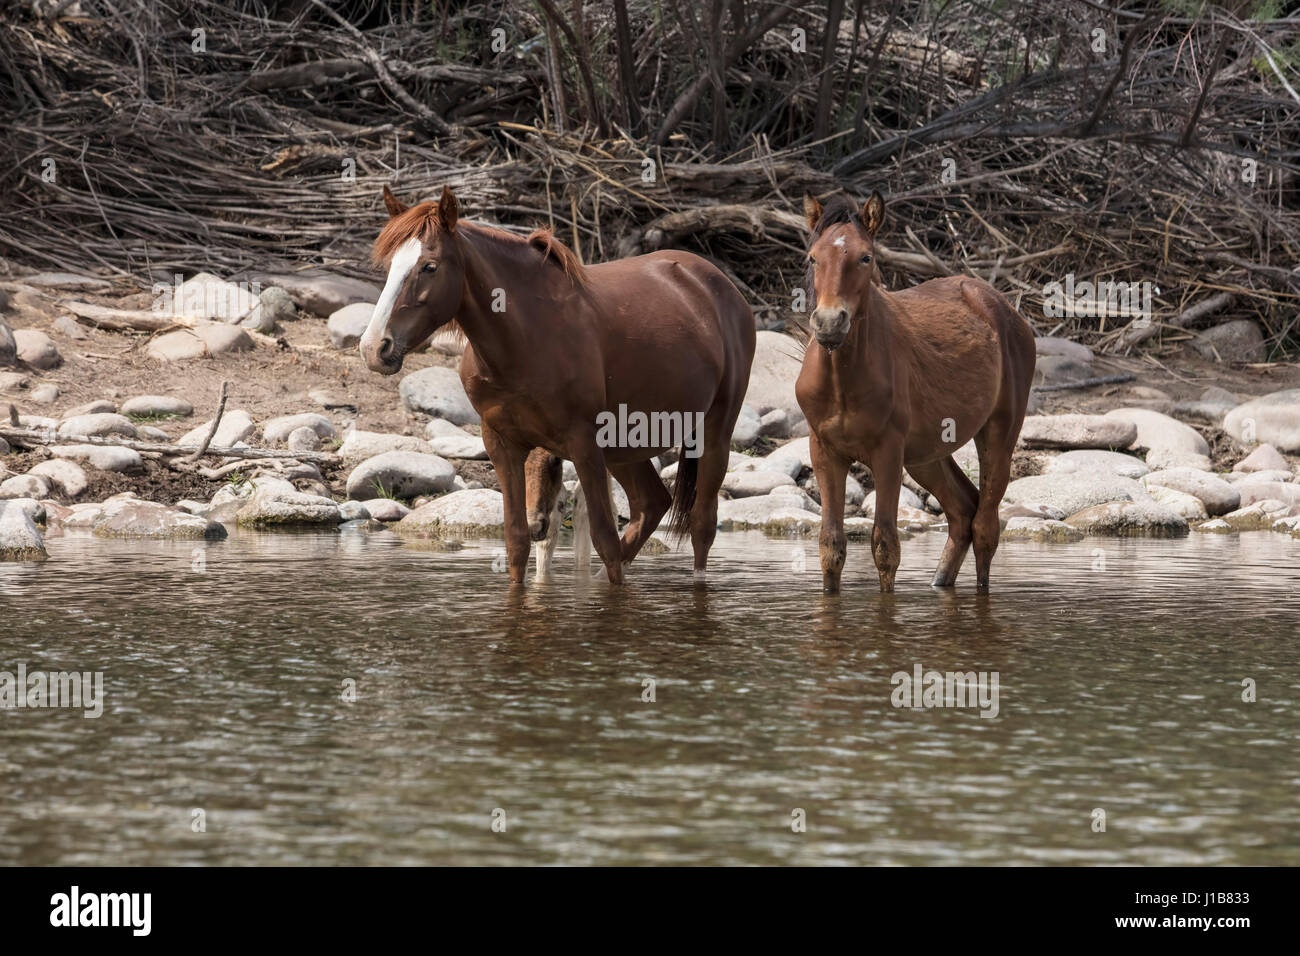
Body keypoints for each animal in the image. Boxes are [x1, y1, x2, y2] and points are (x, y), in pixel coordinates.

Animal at [361, 184, 759, 587]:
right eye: (390, 266)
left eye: (429, 266)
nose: (375, 347)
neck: (525, 339)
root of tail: (716, 284)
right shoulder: (503, 445)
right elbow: (517, 540)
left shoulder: (584, 444)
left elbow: (604, 539)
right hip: (624, 447)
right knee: (651, 505)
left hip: (713, 433)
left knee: (701, 525)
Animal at [790, 193, 1034, 595]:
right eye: (812, 257)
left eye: (866, 257)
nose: (829, 323)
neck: (842, 380)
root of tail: (1007, 310)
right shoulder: (824, 450)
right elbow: (831, 545)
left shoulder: (888, 451)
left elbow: (886, 546)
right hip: (925, 455)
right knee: (963, 510)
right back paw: (939, 583)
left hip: (999, 431)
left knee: (985, 525)